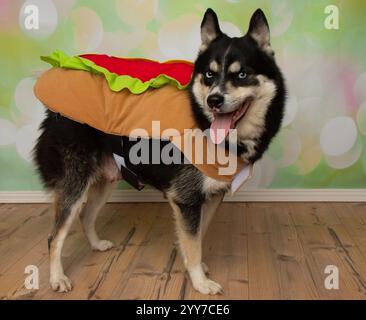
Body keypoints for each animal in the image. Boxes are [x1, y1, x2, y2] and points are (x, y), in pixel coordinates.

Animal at [33, 8, 286, 296]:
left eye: (242, 75)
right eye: (208, 76)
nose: (213, 100)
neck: (203, 122)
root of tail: (50, 113)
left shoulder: (210, 198)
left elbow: (197, 237)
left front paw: (193, 266)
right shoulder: (186, 199)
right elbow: (193, 243)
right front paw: (200, 281)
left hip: (107, 178)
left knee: (86, 215)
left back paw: (96, 245)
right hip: (75, 184)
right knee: (54, 236)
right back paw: (57, 278)